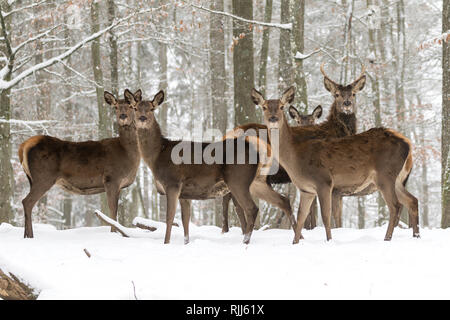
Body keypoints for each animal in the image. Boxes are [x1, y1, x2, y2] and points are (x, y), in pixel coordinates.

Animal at [18, 90, 141, 238]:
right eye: (116, 107)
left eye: (131, 106)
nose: (123, 116)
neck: (127, 153)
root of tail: (24, 146)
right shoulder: (111, 179)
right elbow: (112, 210)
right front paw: (114, 234)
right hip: (43, 177)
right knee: (27, 201)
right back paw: (30, 236)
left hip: (31, 179)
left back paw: (26, 236)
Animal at [126, 89, 268, 244]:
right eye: (135, 108)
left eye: (152, 108)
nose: (142, 118)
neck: (157, 156)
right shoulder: (184, 193)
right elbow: (185, 221)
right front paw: (186, 243)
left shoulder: (173, 183)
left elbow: (169, 218)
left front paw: (166, 243)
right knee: (243, 211)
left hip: (238, 180)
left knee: (251, 209)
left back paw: (245, 241)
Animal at [251, 86, 420, 241]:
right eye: (264, 107)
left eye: (281, 106)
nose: (273, 118)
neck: (295, 157)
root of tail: (408, 144)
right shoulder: (306, 189)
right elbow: (301, 218)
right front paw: (295, 243)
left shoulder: (324, 181)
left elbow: (326, 217)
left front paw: (329, 240)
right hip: (397, 179)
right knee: (412, 200)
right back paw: (416, 235)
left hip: (385, 174)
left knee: (395, 205)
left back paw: (387, 238)